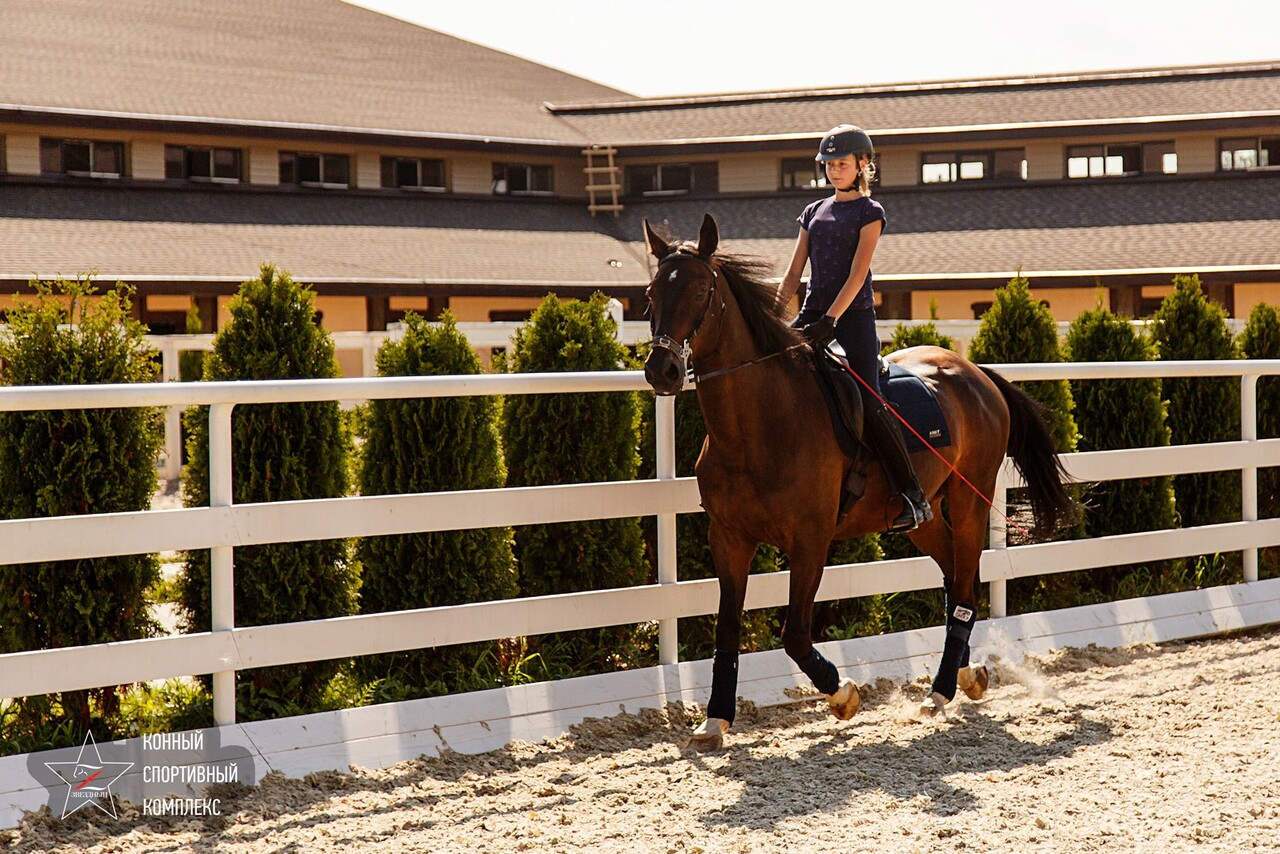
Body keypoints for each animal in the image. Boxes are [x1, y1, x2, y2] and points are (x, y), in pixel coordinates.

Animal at [645, 213, 1075, 747]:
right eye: (651, 293)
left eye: (701, 289)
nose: (662, 369)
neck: (761, 422)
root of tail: (974, 372)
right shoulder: (728, 537)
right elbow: (727, 630)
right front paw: (714, 720)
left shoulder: (810, 539)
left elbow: (795, 634)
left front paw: (842, 694)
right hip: (922, 518)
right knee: (958, 576)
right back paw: (965, 676)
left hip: (970, 497)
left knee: (964, 588)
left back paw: (939, 692)